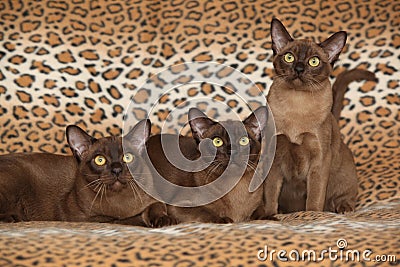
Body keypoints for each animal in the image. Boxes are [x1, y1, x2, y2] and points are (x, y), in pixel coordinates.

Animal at [262, 18, 360, 216]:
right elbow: (270, 194)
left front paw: (312, 216)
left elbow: (315, 197)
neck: (297, 104)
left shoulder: (319, 160)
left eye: (314, 61)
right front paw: (269, 216)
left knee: (345, 196)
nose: (299, 69)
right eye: (289, 57)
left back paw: (343, 208)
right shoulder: (274, 157)